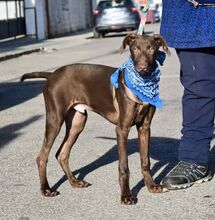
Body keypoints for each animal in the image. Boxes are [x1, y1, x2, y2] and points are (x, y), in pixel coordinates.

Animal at [21, 33, 170, 205]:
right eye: (135, 49)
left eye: (151, 48)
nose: (142, 67)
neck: (142, 84)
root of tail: (52, 75)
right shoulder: (122, 129)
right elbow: (124, 166)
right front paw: (126, 196)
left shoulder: (144, 127)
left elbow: (145, 160)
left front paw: (151, 186)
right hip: (55, 119)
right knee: (42, 157)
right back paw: (46, 189)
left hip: (77, 122)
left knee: (62, 154)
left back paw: (75, 182)